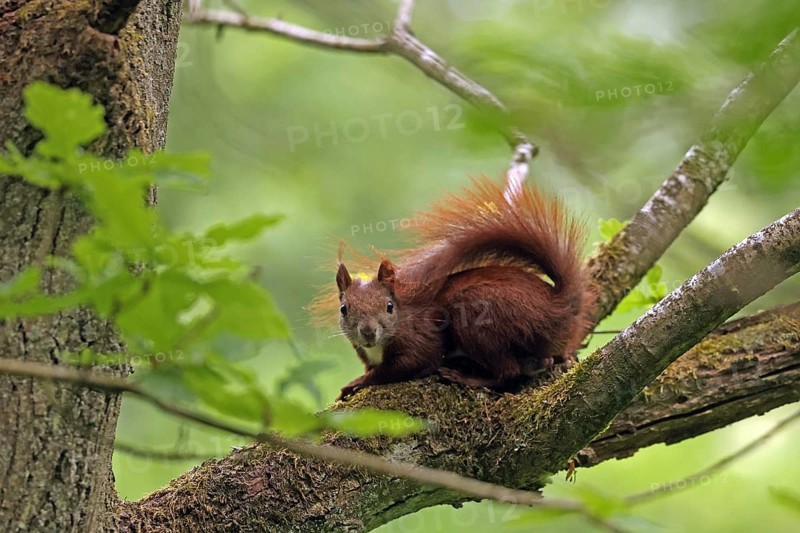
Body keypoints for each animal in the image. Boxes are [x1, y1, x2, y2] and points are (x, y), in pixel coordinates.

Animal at [318, 177, 595, 401]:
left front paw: (357, 383)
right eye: (344, 309)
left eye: (388, 307)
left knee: (509, 372)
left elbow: (400, 367)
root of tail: (558, 303)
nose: (368, 332)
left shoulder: (423, 341)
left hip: (478, 314)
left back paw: (469, 378)